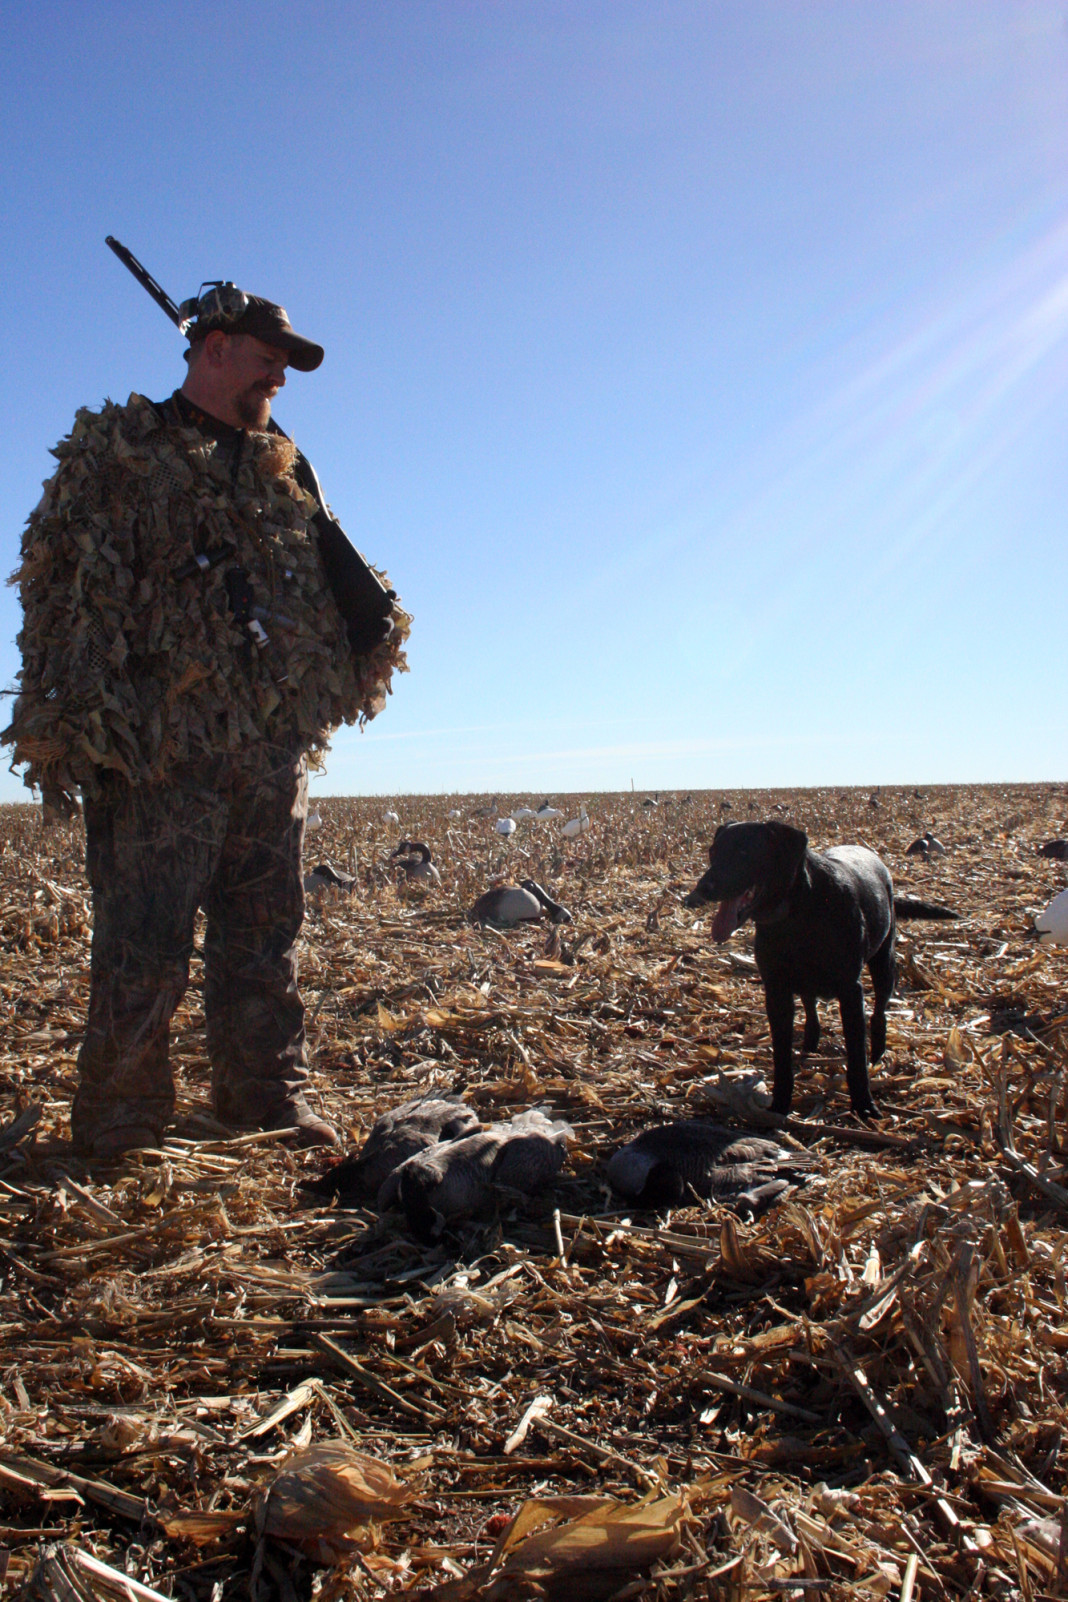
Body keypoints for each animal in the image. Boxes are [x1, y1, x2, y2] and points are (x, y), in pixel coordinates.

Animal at [688, 826, 954, 1114]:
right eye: (713, 852)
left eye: (744, 852)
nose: (702, 888)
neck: (798, 914)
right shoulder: (776, 992)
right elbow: (781, 1055)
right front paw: (780, 1105)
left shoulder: (851, 991)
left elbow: (856, 1055)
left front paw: (863, 1105)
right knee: (811, 1010)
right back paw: (810, 1045)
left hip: (885, 963)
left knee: (879, 1014)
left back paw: (878, 1055)